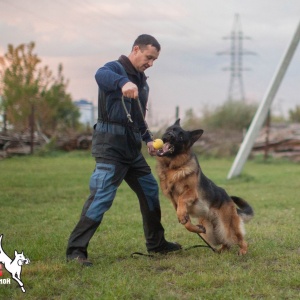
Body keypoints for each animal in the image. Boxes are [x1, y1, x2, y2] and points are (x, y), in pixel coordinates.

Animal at [156, 118, 254, 254]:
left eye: (181, 136)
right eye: (170, 129)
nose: (170, 135)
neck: (173, 168)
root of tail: (229, 200)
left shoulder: (191, 193)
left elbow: (182, 200)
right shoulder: (175, 204)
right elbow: (186, 223)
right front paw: (196, 228)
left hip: (227, 227)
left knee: (240, 240)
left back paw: (242, 251)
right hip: (210, 233)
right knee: (224, 241)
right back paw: (221, 251)